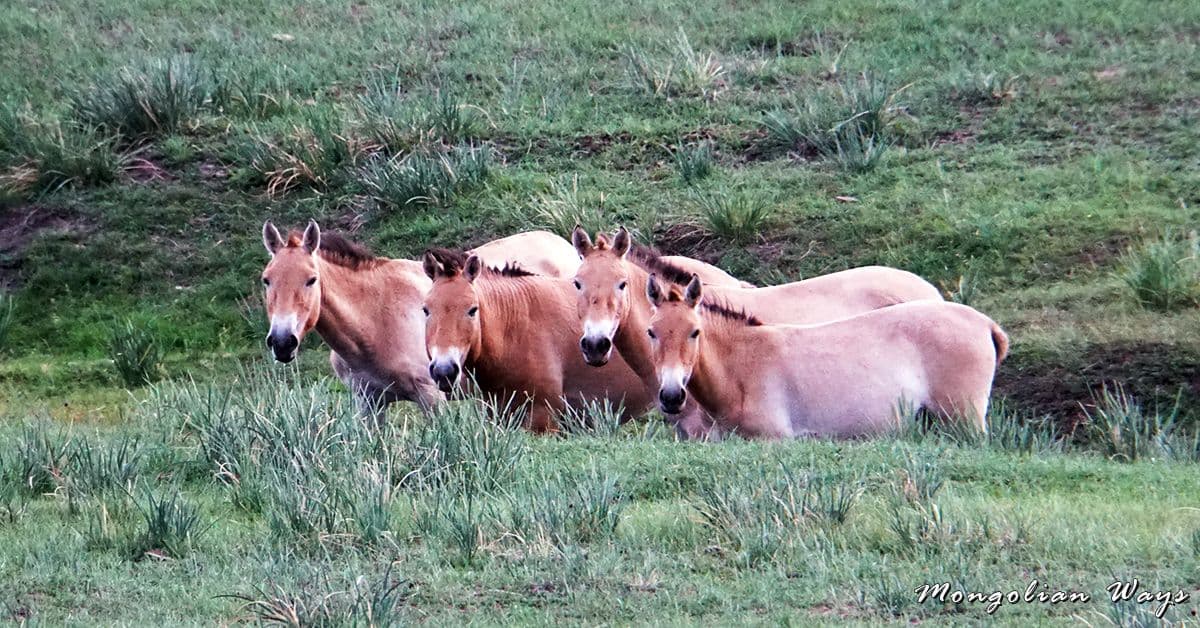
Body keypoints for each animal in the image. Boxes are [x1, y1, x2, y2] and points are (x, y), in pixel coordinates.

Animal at [260, 220, 582, 419]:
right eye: (266, 280)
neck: (376, 319)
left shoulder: (432, 398)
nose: (282, 342)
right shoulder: (368, 403)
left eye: (311, 279)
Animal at [645, 274, 1008, 438]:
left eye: (694, 332)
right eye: (652, 332)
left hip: (965, 422)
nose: (672, 396)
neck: (742, 366)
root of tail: (986, 323)